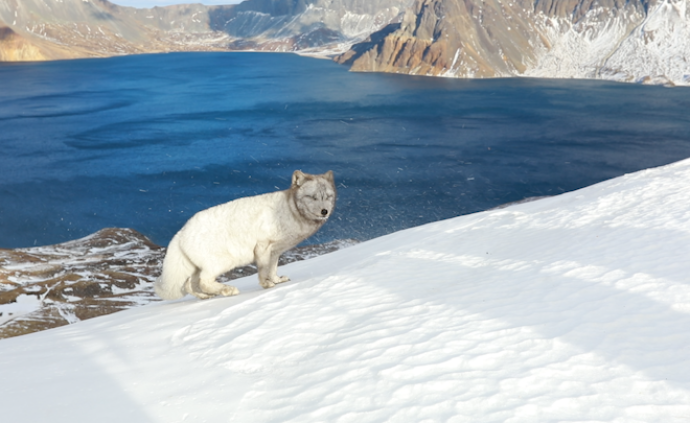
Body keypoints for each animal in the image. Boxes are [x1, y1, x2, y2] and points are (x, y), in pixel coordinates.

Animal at [157, 171, 338, 300]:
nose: (324, 211)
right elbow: (264, 270)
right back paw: (228, 290)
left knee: (189, 285)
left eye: (328, 197)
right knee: (204, 281)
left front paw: (277, 280)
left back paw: (205, 296)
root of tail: (180, 232)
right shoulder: (263, 245)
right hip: (222, 262)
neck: (290, 211)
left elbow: (273, 269)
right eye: (313, 197)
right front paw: (267, 285)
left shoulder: (275, 251)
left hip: (197, 268)